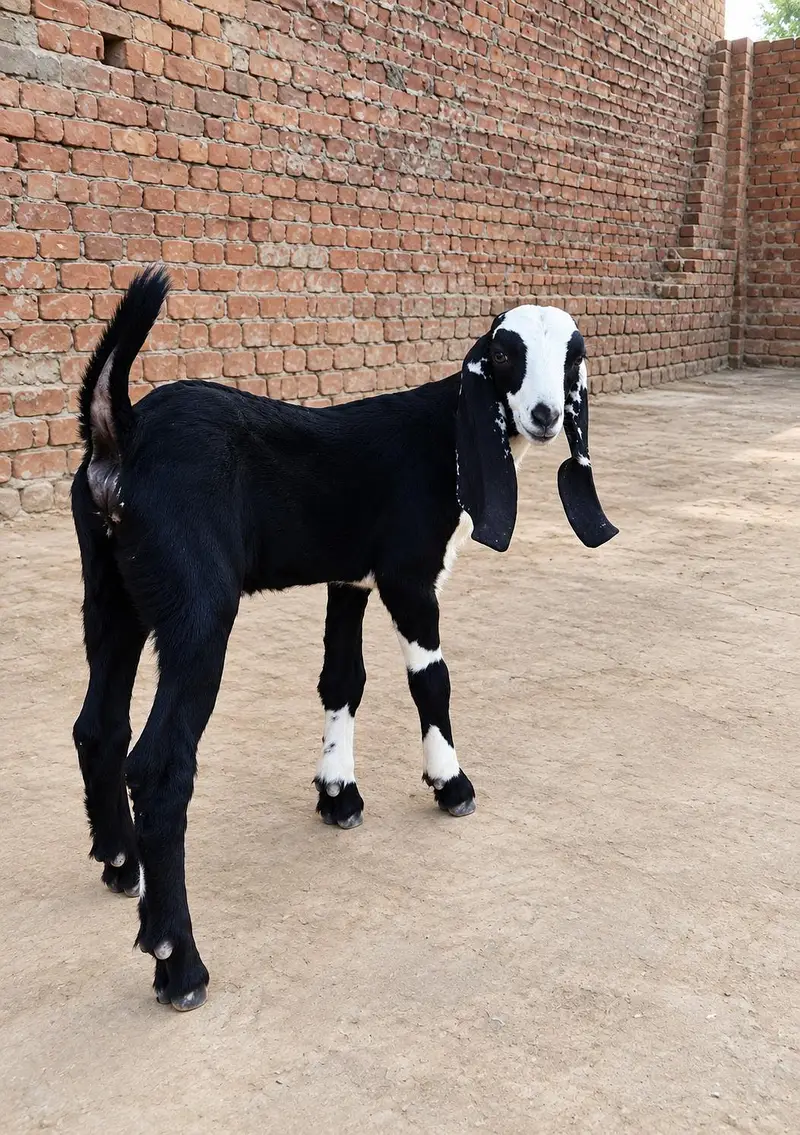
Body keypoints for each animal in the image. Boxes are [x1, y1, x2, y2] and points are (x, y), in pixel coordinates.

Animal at [71, 266, 617, 1011]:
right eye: (504, 354)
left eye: (571, 355)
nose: (545, 415)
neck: (439, 435)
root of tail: (119, 431)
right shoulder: (407, 576)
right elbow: (431, 681)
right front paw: (451, 784)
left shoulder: (348, 578)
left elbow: (343, 680)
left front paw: (338, 793)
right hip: (196, 609)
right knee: (160, 765)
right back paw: (177, 961)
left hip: (114, 597)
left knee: (98, 726)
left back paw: (123, 865)